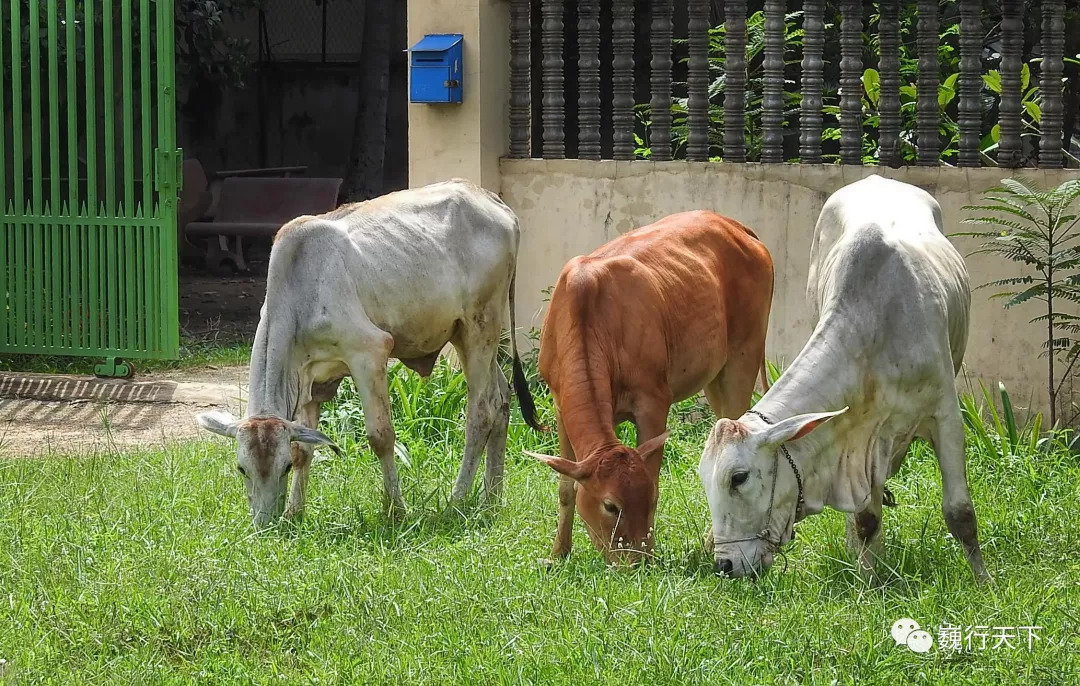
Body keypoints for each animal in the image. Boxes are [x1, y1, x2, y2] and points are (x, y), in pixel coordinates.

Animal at [195, 179, 540, 529]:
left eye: (283, 468)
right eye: (242, 468)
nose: (264, 524)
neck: (299, 291)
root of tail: (493, 201)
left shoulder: (368, 353)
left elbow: (381, 436)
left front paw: (395, 510)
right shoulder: (310, 380)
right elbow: (304, 449)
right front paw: (295, 512)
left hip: (480, 326)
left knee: (481, 412)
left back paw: (456, 500)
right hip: (465, 336)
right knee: (502, 399)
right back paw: (491, 499)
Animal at [527, 211, 773, 566]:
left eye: (644, 499)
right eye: (610, 505)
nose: (635, 561)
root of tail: (737, 227)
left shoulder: (654, 401)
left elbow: (655, 477)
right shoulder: (561, 406)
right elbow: (565, 487)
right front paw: (558, 554)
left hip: (744, 355)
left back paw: (711, 544)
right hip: (715, 375)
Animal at [695, 173, 989, 583]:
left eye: (738, 477)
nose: (725, 565)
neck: (874, 334)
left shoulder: (945, 414)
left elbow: (960, 513)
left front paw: (984, 582)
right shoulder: (863, 437)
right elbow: (866, 518)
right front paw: (868, 579)